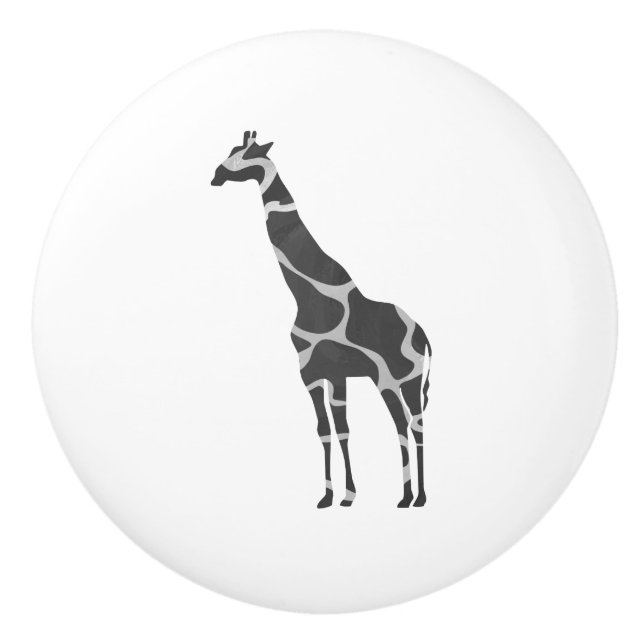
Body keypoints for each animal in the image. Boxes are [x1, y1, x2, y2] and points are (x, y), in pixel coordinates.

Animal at [211, 131, 432, 508]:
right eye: (231, 150)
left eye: (246, 154)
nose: (215, 175)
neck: (306, 294)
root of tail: (424, 336)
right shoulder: (317, 374)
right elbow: (329, 430)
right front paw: (334, 496)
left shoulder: (330, 371)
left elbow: (340, 428)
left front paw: (346, 495)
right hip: (392, 380)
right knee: (404, 424)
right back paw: (408, 496)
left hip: (404, 378)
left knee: (413, 425)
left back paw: (416, 498)